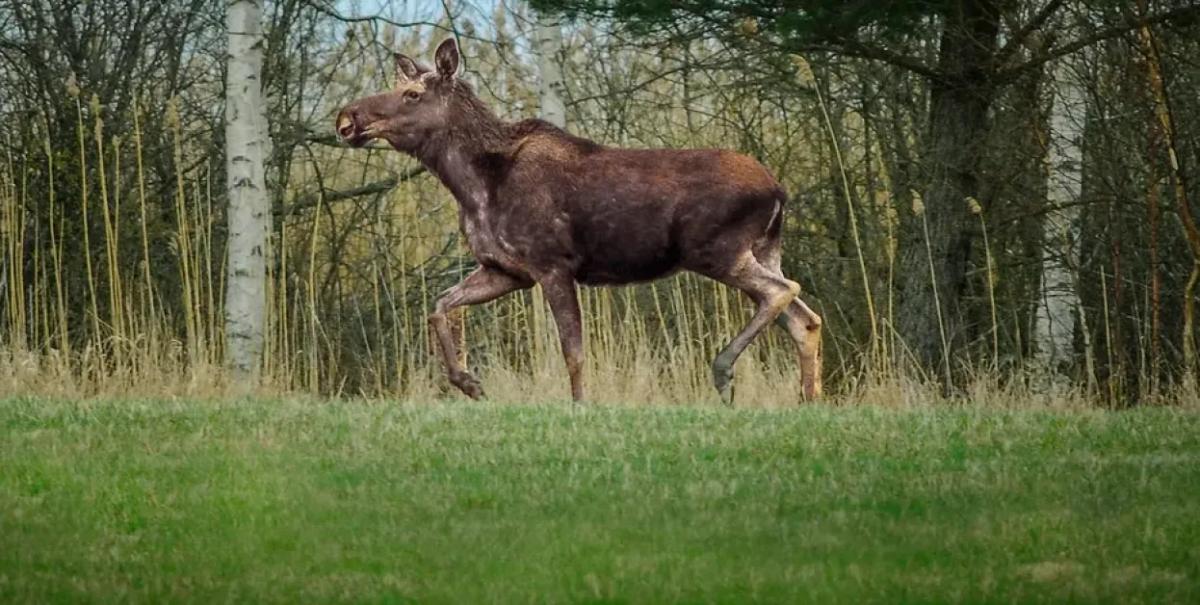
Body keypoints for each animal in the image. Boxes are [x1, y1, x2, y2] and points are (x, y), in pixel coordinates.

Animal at [335, 38, 823, 404]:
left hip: (717, 251)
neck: (473, 187)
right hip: (761, 250)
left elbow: (574, 352)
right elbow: (439, 306)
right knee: (805, 317)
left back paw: (724, 370)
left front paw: (580, 407)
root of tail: (779, 192)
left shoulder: (553, 263)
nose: (346, 119)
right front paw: (470, 383)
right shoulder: (505, 270)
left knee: (784, 291)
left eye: (412, 94)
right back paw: (806, 400)